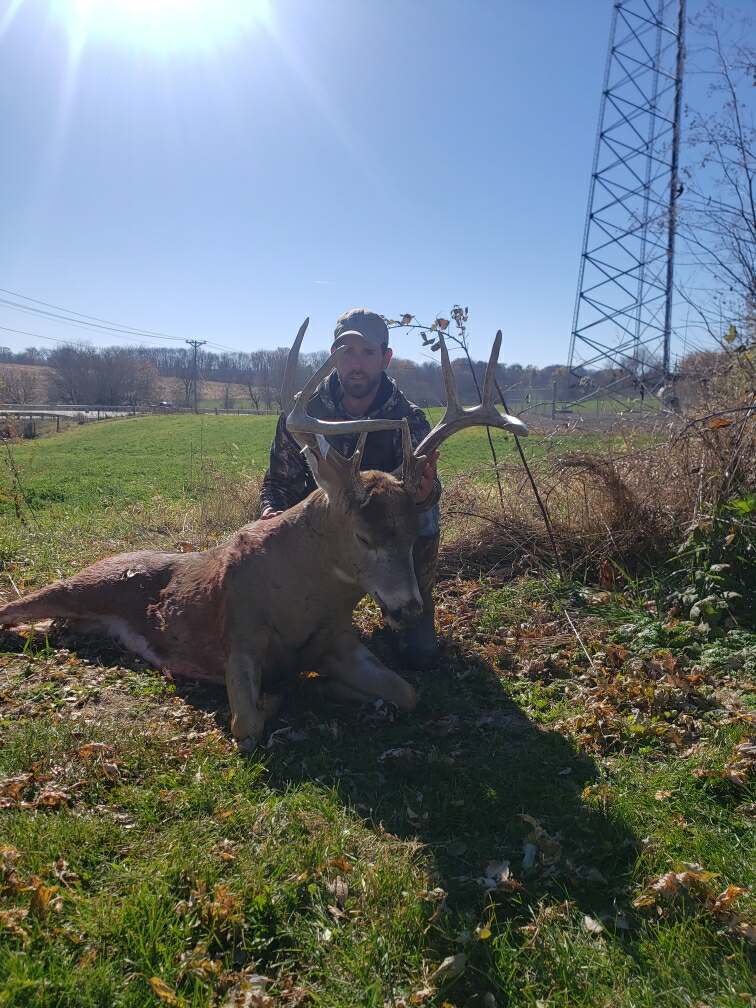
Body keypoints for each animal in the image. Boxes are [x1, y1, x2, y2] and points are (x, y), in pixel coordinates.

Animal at [0, 322, 528, 749]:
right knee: (13, 607)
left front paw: (327, 686)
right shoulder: (239, 636)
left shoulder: (338, 638)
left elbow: (408, 692)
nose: (410, 607)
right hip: (78, 584)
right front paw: (290, 691)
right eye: (363, 536)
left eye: (414, 535)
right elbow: (248, 721)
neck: (300, 598)